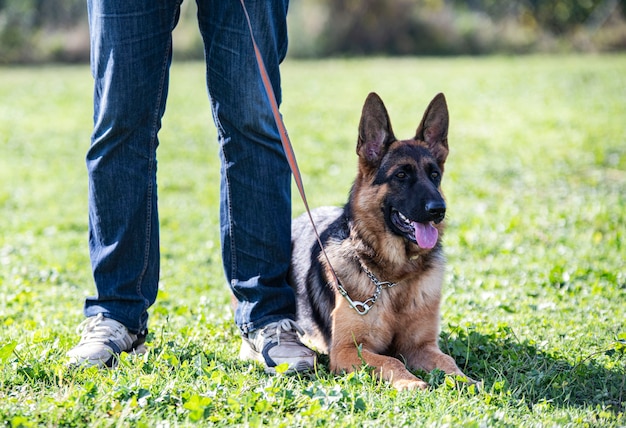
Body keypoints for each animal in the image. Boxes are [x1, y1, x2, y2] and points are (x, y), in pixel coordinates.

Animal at [288, 92, 468, 390]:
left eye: (434, 175)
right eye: (401, 175)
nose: (438, 210)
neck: (393, 277)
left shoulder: (421, 346)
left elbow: (448, 362)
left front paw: (467, 381)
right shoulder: (347, 350)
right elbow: (391, 361)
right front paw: (412, 383)